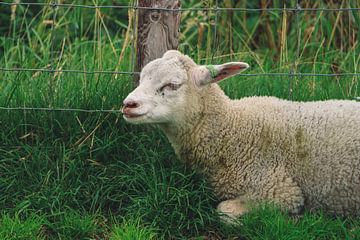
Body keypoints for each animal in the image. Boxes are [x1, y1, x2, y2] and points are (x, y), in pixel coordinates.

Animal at [121, 50, 360, 221]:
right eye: (141, 79)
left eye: (172, 85)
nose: (128, 104)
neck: (232, 130)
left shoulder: (281, 190)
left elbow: (224, 211)